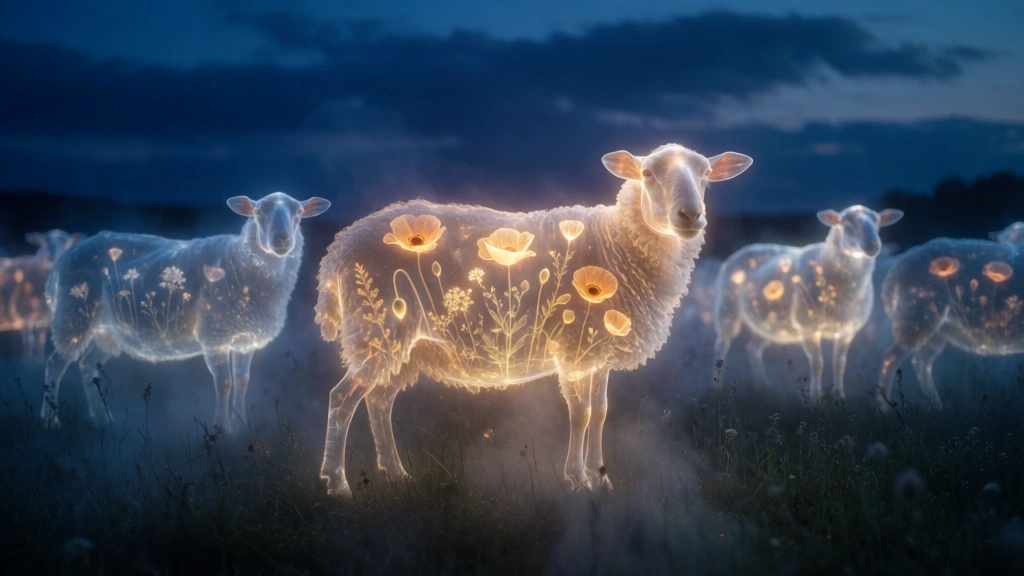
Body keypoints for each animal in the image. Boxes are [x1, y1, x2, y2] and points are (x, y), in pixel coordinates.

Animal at [0, 230, 84, 362]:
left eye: (65, 243)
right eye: (44, 241)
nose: (51, 253)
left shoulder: (43, 319)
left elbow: (41, 340)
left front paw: (38, 361)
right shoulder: (24, 316)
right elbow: (29, 341)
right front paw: (27, 361)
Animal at [41, 192, 330, 430]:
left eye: (299, 212)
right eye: (258, 211)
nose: (282, 240)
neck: (238, 262)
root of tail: (60, 263)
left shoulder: (245, 337)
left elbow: (242, 381)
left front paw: (241, 427)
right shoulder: (215, 336)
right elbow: (224, 382)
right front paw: (222, 429)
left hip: (107, 330)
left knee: (87, 366)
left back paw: (103, 420)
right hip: (73, 314)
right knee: (55, 364)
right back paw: (50, 421)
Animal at [314, 143, 753, 496]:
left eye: (706, 175)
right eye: (647, 174)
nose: (691, 215)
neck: (616, 243)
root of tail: (338, 251)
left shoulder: (597, 351)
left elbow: (600, 411)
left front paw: (602, 480)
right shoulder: (575, 347)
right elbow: (581, 413)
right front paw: (577, 479)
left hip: (402, 342)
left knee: (379, 401)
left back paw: (395, 474)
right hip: (376, 326)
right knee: (342, 400)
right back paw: (337, 485)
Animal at [711, 206, 903, 401]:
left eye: (878, 223)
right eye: (847, 225)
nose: (873, 245)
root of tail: (747, 248)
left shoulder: (847, 329)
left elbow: (840, 364)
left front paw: (839, 395)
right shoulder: (808, 327)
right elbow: (817, 363)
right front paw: (815, 397)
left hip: (768, 322)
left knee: (753, 348)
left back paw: (764, 385)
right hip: (727, 308)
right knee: (721, 347)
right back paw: (718, 387)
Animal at [877, 237, 1023, 410]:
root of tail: (897, 270)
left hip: (938, 328)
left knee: (921, 361)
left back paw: (938, 408)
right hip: (917, 315)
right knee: (891, 357)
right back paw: (884, 409)